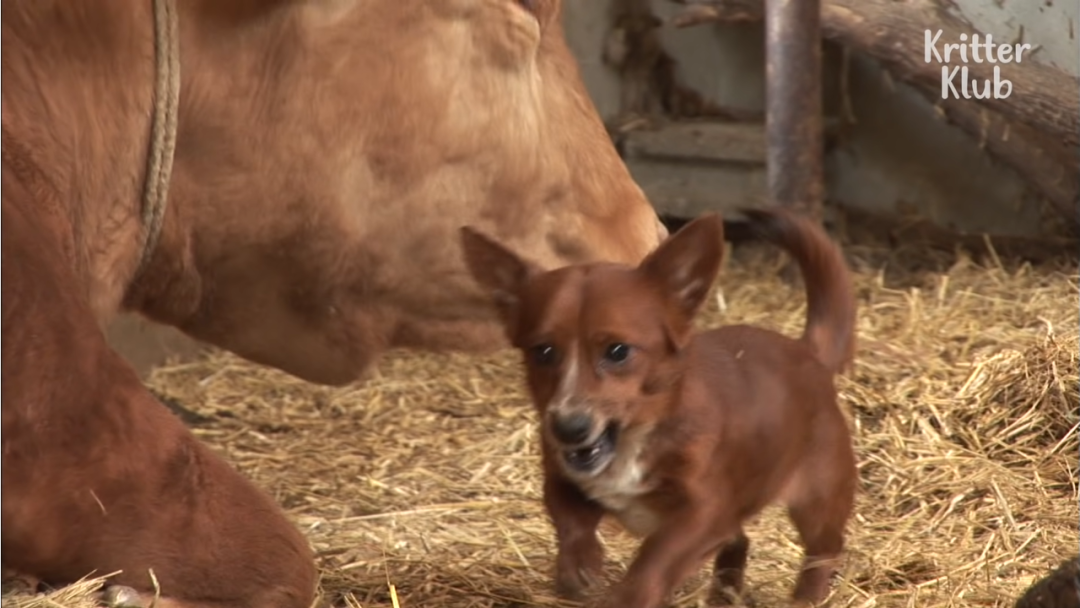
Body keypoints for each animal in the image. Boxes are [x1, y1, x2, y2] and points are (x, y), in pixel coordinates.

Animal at [460, 207, 855, 604]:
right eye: (543, 351)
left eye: (618, 351)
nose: (568, 429)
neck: (636, 438)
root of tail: (809, 352)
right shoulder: (561, 481)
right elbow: (571, 525)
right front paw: (579, 570)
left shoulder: (705, 510)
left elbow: (655, 561)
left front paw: (627, 596)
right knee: (739, 542)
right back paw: (722, 596)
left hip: (817, 503)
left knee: (823, 552)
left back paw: (807, 597)